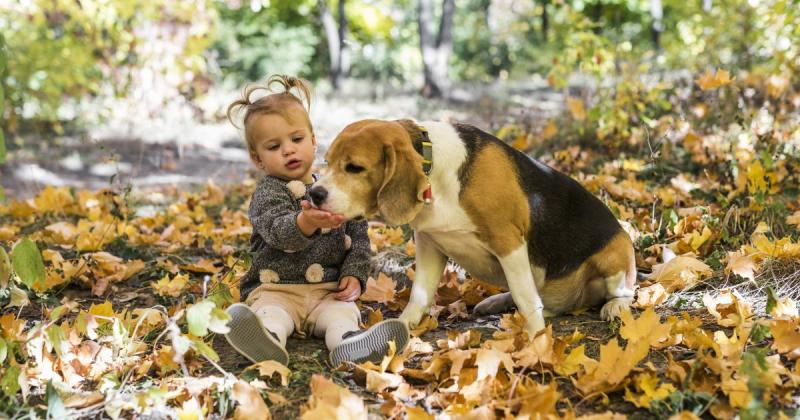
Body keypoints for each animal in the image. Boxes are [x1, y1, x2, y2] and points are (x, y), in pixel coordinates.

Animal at [310, 120, 636, 336]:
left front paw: (536, 340)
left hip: (616, 255)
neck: (435, 175)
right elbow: (419, 295)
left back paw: (615, 306)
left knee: (624, 291)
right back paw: (495, 301)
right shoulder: (429, 243)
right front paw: (402, 326)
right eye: (326, 161)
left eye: (355, 168)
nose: (314, 194)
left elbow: (526, 300)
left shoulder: (508, 242)